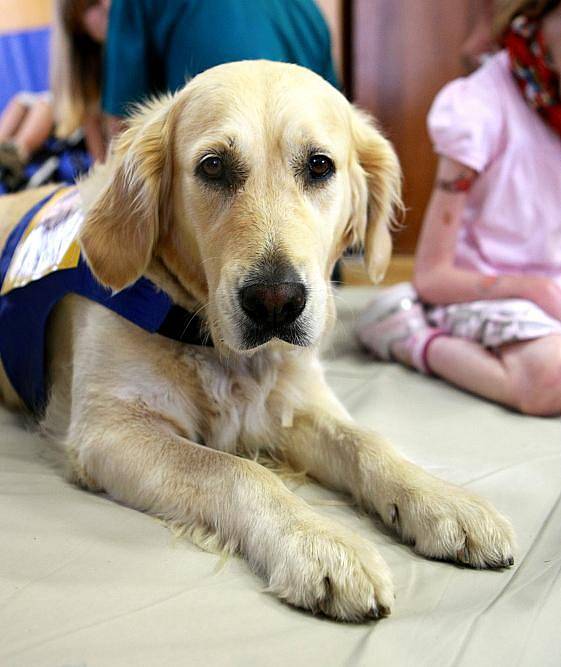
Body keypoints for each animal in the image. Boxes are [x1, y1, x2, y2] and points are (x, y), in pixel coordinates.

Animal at [0, 61, 516, 620]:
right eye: (212, 167)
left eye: (319, 165)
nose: (276, 301)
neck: (218, 348)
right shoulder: (109, 430)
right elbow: (234, 469)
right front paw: (318, 542)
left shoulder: (295, 404)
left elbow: (367, 442)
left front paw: (443, 500)